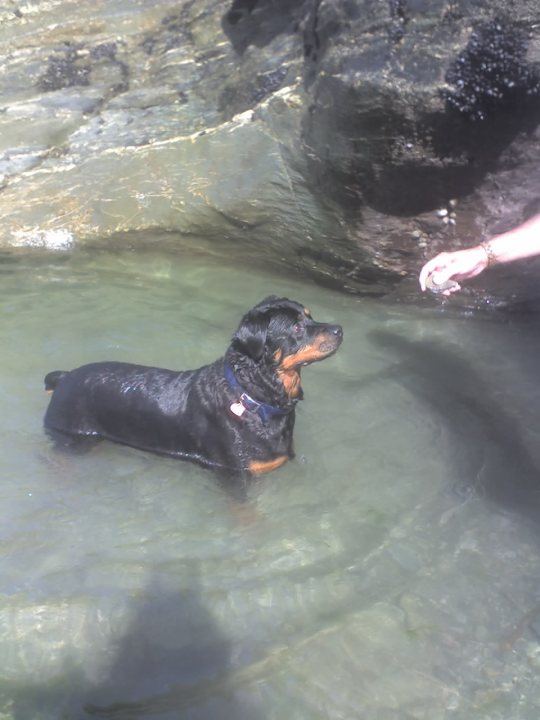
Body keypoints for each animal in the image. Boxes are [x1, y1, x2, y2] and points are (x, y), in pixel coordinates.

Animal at [44, 296, 344, 480]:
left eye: (310, 316)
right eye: (296, 328)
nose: (339, 329)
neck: (252, 396)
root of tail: (65, 377)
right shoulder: (234, 473)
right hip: (72, 437)